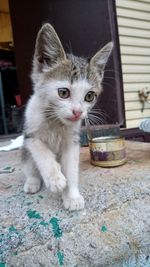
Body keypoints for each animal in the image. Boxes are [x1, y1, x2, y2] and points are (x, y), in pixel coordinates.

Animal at [21, 23, 112, 211]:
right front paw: (55, 178)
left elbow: (70, 168)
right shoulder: (30, 134)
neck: (55, 121)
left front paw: (72, 196)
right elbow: (41, 151)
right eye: (63, 93)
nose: (78, 112)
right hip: (25, 150)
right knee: (29, 165)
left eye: (89, 96)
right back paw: (32, 182)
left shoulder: (72, 141)